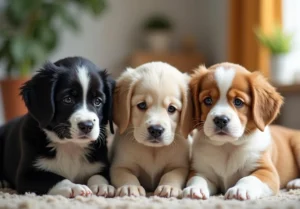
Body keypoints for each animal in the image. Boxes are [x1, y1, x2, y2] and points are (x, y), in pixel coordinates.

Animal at [0, 56, 115, 197]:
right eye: (68, 99)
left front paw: (102, 186)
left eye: (98, 101)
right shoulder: (26, 175)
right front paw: (74, 187)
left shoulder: (102, 163)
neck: (71, 146)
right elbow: (53, 178)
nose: (87, 125)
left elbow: (99, 175)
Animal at [109, 61, 192, 198]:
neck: (153, 150)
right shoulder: (119, 166)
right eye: (142, 105)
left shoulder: (180, 166)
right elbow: (126, 175)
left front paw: (169, 187)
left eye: (172, 108)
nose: (156, 130)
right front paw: (130, 187)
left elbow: (172, 174)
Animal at [183, 62, 300, 201]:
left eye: (238, 102)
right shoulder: (201, 169)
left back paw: (295, 182)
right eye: (208, 100)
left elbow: (249, 179)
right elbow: (197, 179)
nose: (220, 120)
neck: (227, 147)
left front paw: (240, 189)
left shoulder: (266, 171)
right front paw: (194, 189)